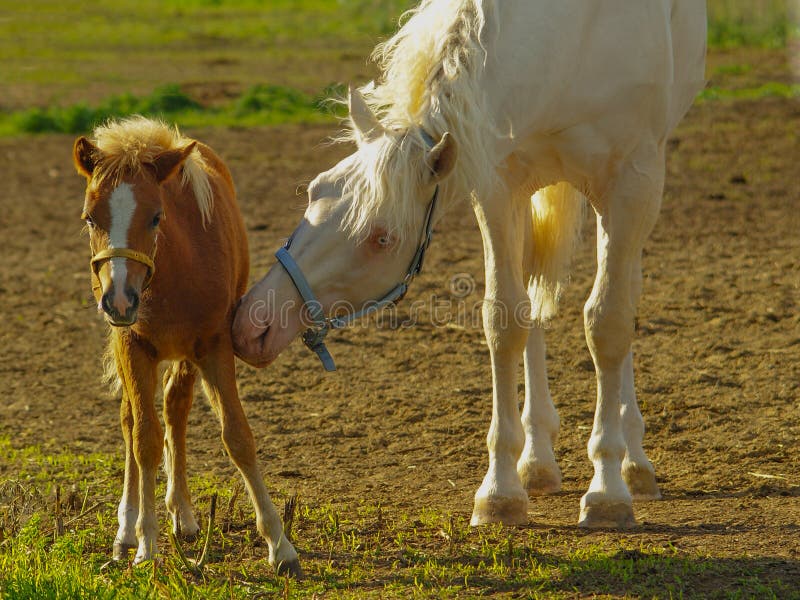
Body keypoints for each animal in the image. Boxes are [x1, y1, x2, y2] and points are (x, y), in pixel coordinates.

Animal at [73, 116, 299, 574]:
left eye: (156, 216)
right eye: (89, 218)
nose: (119, 299)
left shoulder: (213, 346)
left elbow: (237, 436)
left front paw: (280, 545)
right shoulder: (133, 346)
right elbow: (144, 438)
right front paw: (145, 545)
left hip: (184, 355)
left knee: (176, 408)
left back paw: (184, 515)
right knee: (132, 421)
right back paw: (126, 531)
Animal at [233, 0, 706, 529]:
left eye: (382, 238)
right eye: (315, 189)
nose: (254, 322)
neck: (575, 41)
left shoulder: (632, 185)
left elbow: (607, 324)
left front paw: (607, 489)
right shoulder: (498, 184)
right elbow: (505, 318)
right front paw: (501, 489)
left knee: (622, 300)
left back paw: (634, 462)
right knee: (532, 300)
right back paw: (537, 462)